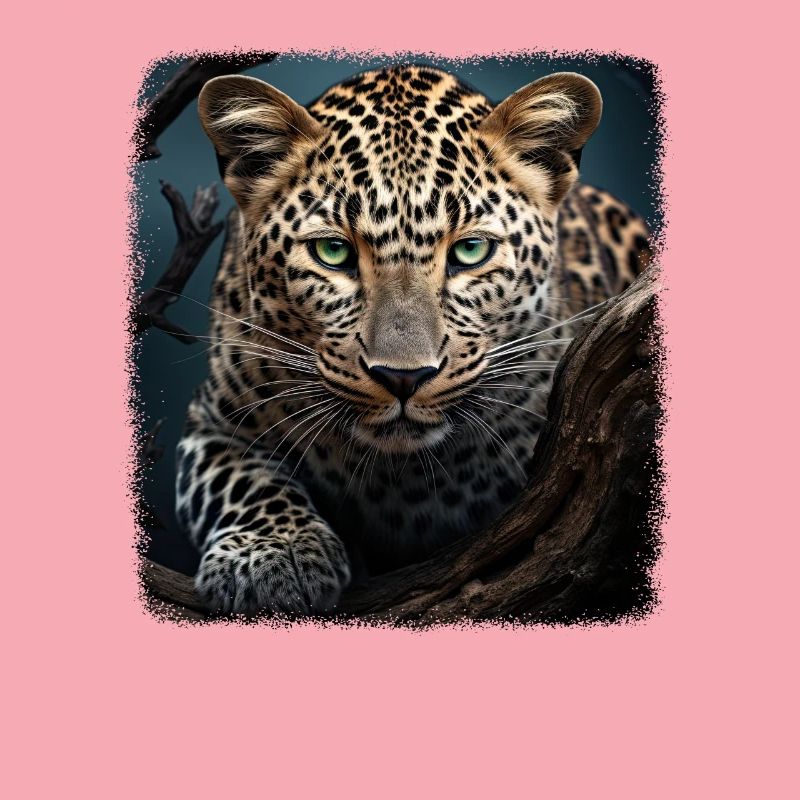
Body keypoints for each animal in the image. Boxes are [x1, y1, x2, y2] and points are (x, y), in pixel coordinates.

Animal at [174, 64, 651, 615]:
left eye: (470, 250)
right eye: (332, 252)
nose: (403, 378)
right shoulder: (211, 422)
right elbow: (242, 481)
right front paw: (272, 553)